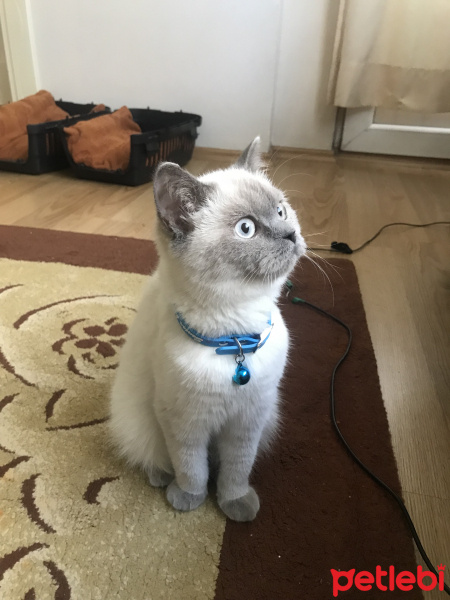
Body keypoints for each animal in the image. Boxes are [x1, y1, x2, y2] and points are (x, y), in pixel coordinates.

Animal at [109, 139, 306, 520]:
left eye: (280, 211)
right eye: (246, 229)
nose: (291, 235)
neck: (235, 340)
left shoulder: (249, 420)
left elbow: (236, 469)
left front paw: (235, 505)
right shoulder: (184, 421)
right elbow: (192, 468)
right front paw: (189, 499)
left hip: (269, 417)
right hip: (139, 418)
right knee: (154, 455)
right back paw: (161, 478)